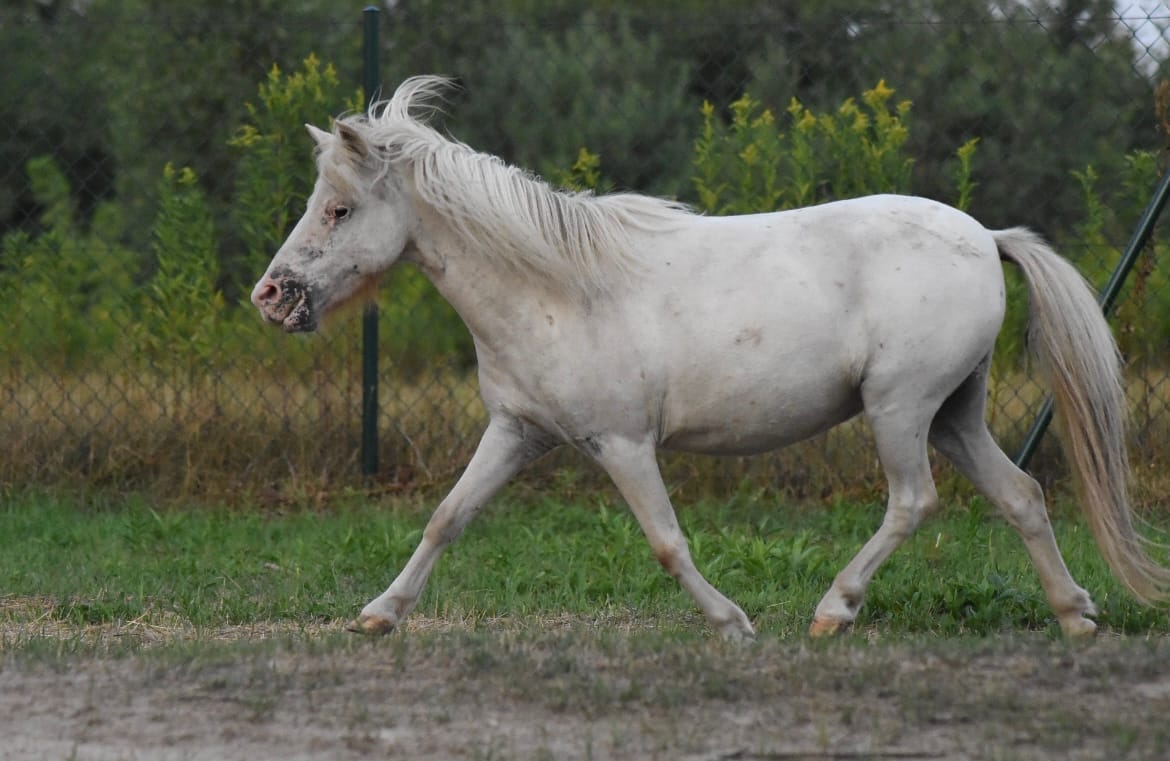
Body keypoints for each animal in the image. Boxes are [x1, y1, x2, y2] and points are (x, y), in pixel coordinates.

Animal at [251, 75, 1170, 640]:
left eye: (339, 208)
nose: (272, 296)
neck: (557, 287)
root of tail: (985, 235)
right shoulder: (517, 430)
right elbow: (448, 515)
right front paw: (379, 613)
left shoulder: (622, 443)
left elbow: (666, 542)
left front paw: (732, 622)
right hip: (953, 413)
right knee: (1020, 496)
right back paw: (1075, 613)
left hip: (901, 407)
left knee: (914, 501)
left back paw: (834, 610)